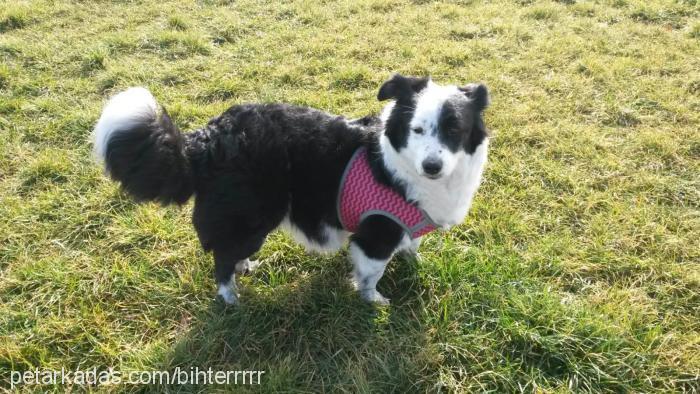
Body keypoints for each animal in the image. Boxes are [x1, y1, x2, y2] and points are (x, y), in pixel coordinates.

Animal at [93, 75, 490, 306]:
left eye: (454, 130)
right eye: (417, 130)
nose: (432, 166)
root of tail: (206, 140)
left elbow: (412, 245)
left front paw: (414, 261)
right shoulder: (375, 234)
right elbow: (370, 273)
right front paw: (374, 301)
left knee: (229, 253)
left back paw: (245, 269)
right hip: (252, 219)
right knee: (222, 259)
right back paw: (230, 298)